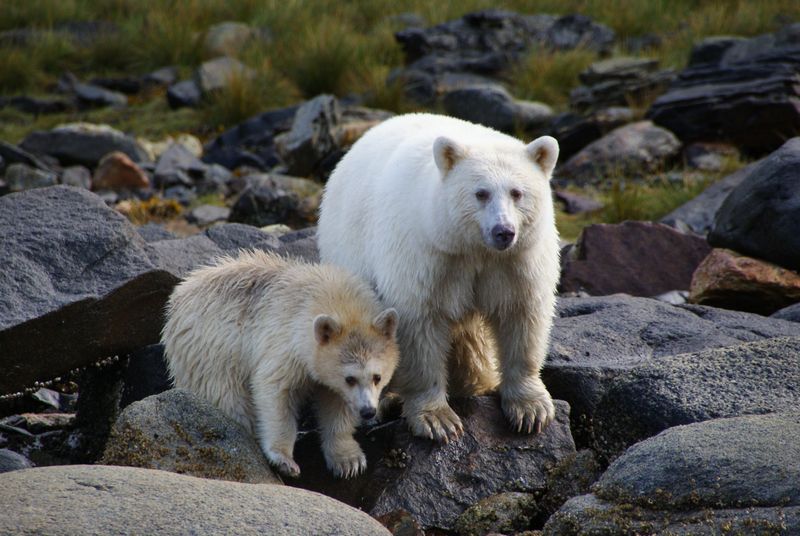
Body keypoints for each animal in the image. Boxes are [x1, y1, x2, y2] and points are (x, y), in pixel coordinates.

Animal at [161, 249, 399, 478]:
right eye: (350, 378)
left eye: (377, 377)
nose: (368, 411)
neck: (327, 294)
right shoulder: (285, 341)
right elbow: (276, 391)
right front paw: (284, 460)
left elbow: (337, 403)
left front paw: (349, 461)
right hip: (211, 353)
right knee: (228, 398)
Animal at [317, 113, 560, 443]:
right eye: (481, 193)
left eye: (517, 192)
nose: (504, 231)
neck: (473, 248)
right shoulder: (428, 254)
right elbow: (419, 322)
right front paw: (437, 419)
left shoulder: (515, 261)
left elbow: (522, 315)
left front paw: (531, 409)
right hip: (349, 251)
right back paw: (387, 399)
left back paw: (477, 380)